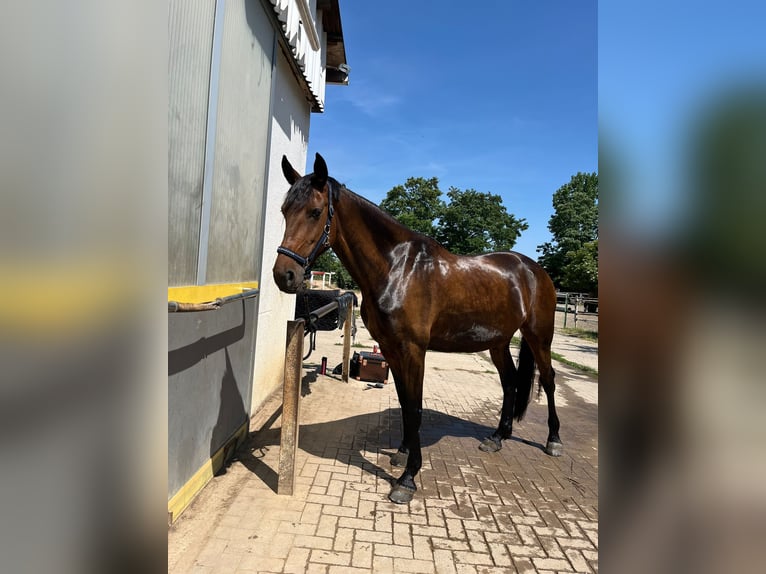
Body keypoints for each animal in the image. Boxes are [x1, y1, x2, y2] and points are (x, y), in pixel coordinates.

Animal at [273, 153, 562, 504]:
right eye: (285, 211)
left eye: (315, 212)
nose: (284, 275)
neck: (398, 269)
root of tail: (533, 270)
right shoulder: (390, 348)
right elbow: (403, 401)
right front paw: (401, 453)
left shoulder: (414, 350)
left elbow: (415, 407)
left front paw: (407, 479)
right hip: (498, 342)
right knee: (510, 383)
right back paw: (497, 437)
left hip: (539, 337)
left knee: (548, 380)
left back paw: (553, 440)